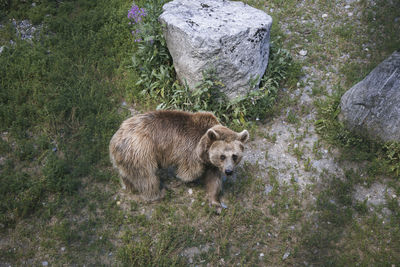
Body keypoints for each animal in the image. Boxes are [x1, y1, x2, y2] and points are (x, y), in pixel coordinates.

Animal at [108, 110, 248, 208]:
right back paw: (158, 193)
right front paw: (189, 181)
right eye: (222, 156)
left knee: (128, 174)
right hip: (141, 152)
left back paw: (129, 187)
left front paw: (215, 202)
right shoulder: (191, 152)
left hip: (127, 157)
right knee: (147, 177)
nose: (228, 171)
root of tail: (115, 139)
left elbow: (213, 180)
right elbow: (189, 172)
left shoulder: (212, 163)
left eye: (235, 156)